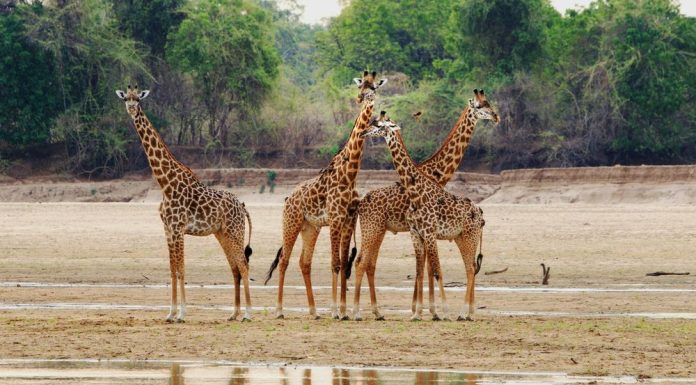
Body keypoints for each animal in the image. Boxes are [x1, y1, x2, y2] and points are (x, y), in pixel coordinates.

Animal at [115, 85, 254, 322]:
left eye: (138, 99)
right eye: (125, 99)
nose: (132, 109)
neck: (165, 183)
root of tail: (243, 206)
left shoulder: (179, 228)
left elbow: (181, 269)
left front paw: (181, 313)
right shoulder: (168, 229)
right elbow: (173, 270)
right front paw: (170, 313)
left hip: (235, 231)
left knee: (243, 265)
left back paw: (247, 313)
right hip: (222, 234)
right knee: (235, 267)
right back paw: (233, 314)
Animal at [266, 70, 388, 320]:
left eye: (374, 87)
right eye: (361, 85)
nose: (361, 98)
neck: (350, 174)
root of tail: (287, 199)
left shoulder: (349, 219)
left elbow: (343, 262)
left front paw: (343, 310)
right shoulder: (335, 218)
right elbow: (335, 263)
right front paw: (336, 311)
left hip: (310, 228)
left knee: (304, 262)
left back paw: (314, 311)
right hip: (291, 222)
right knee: (284, 261)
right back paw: (280, 310)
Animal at [350, 89, 498, 318]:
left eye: (486, 103)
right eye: (481, 106)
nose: (496, 116)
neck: (436, 173)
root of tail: (360, 203)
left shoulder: (425, 232)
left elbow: (426, 269)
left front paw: (426, 310)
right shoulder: (420, 231)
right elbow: (427, 269)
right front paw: (427, 310)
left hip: (379, 230)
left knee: (368, 264)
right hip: (373, 229)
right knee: (361, 262)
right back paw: (356, 311)